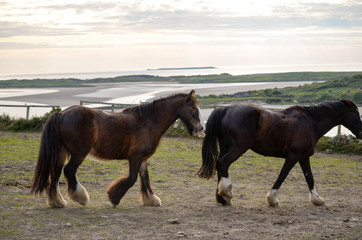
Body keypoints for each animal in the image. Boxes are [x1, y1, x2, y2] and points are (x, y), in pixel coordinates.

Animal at [31, 90, 204, 208]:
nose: (201, 128)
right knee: (69, 170)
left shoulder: (143, 158)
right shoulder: (135, 157)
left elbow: (145, 178)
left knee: (56, 172)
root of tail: (61, 114)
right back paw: (80, 197)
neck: (147, 122)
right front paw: (114, 198)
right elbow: (132, 178)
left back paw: (57, 201)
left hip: (61, 152)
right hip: (79, 153)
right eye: (192, 107)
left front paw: (151, 200)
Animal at [198, 99, 362, 206]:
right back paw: (226, 193)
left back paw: (222, 198)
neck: (310, 122)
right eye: (356, 114)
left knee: (220, 166)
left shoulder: (304, 157)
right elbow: (282, 176)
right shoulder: (293, 157)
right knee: (223, 163)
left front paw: (317, 199)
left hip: (226, 146)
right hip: (238, 147)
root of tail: (224, 109)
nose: (361, 133)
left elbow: (310, 178)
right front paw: (272, 199)